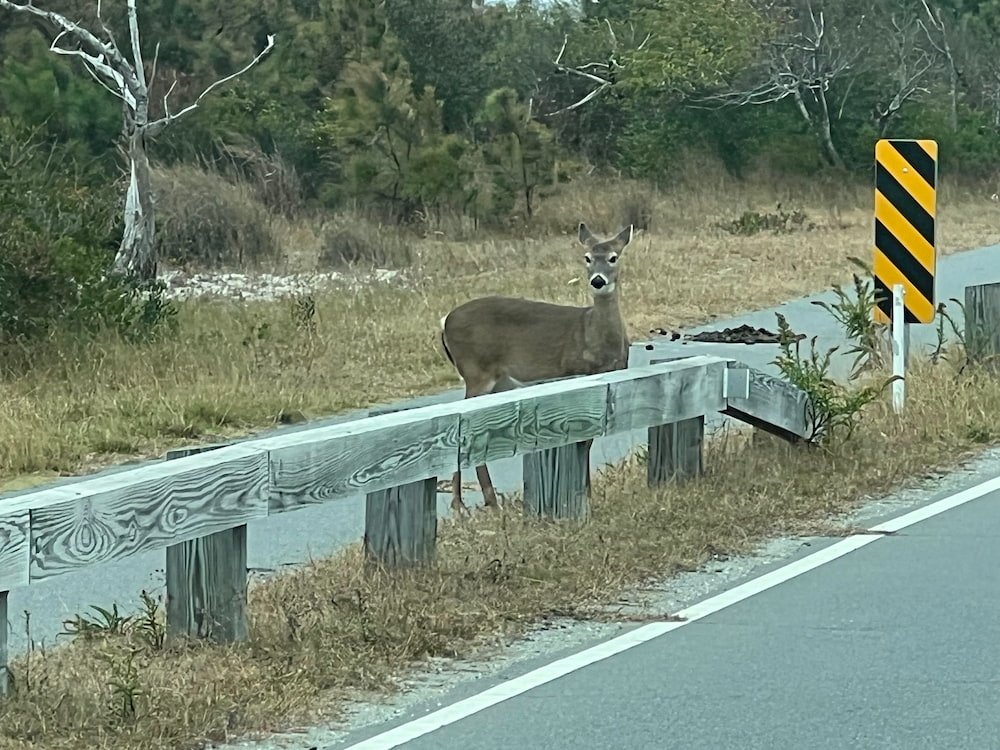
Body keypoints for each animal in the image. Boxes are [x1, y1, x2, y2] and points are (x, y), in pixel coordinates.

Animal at [438, 222, 635, 515]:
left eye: (613, 257)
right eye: (587, 257)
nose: (598, 281)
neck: (594, 337)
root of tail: (444, 321)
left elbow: (587, 442)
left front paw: (586, 492)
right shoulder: (574, 375)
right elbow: (583, 440)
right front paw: (583, 494)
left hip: (496, 381)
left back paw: (485, 499)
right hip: (476, 371)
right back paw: (463, 503)